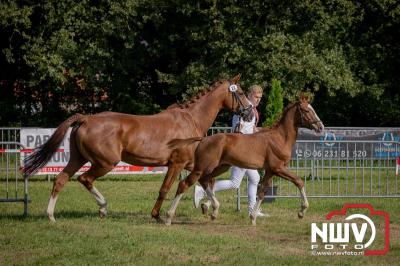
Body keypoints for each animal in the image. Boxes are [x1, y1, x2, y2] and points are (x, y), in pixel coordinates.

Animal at [23, 74, 253, 220]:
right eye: (241, 92)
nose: (250, 112)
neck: (191, 120)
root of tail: (86, 119)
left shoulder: (192, 163)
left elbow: (208, 182)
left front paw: (209, 207)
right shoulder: (176, 164)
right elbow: (166, 188)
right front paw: (158, 215)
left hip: (78, 158)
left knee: (61, 179)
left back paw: (51, 216)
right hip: (105, 162)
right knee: (84, 179)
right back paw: (103, 208)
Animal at [166, 94, 324, 225]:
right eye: (307, 111)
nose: (320, 127)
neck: (280, 138)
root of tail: (203, 139)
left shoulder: (270, 171)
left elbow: (262, 192)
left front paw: (253, 218)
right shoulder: (278, 168)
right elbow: (299, 181)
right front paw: (302, 211)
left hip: (219, 167)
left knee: (205, 181)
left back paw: (212, 210)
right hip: (202, 167)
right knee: (185, 183)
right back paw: (169, 217)